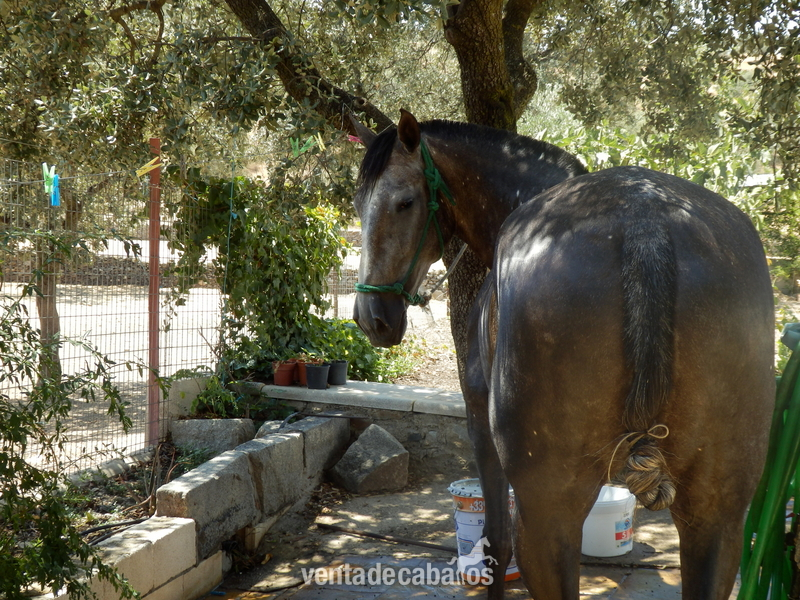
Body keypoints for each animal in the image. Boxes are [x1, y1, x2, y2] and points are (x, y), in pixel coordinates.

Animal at [352, 109, 774, 600]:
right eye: (358, 205)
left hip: (548, 512)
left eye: (404, 202)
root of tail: (646, 223)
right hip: (716, 513)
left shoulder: (479, 424)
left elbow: (496, 543)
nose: (371, 318)